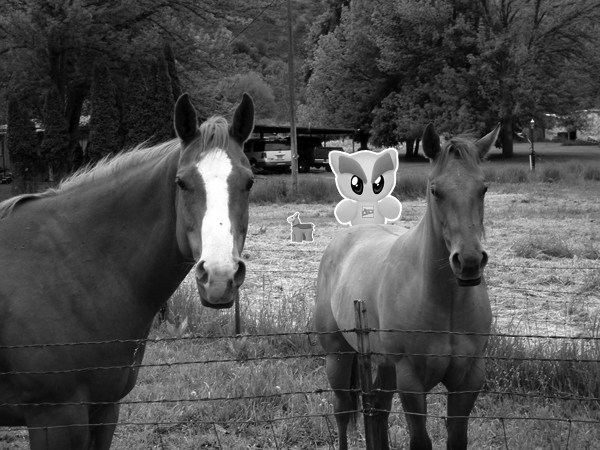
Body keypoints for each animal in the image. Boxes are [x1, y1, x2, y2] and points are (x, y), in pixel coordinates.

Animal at [316, 123, 500, 450]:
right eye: (435, 190)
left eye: (483, 188)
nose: (469, 262)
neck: (445, 301)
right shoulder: (411, 380)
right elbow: (420, 440)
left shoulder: (469, 378)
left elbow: (457, 439)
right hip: (338, 355)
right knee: (342, 410)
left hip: (385, 365)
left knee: (379, 409)